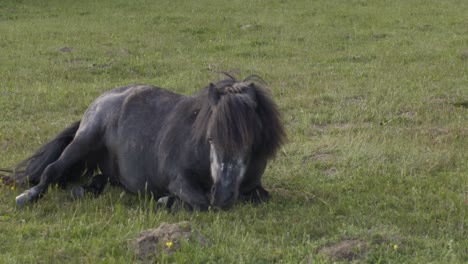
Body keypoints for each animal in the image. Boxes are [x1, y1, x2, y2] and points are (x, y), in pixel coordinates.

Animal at [9, 74, 286, 210]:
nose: (224, 194)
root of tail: (99, 102)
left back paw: (84, 190)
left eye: (250, 143)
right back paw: (26, 197)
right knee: (51, 171)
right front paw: (168, 202)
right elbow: (201, 203)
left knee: (100, 179)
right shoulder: (179, 179)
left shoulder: (253, 187)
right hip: (82, 143)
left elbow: (262, 196)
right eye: (210, 138)